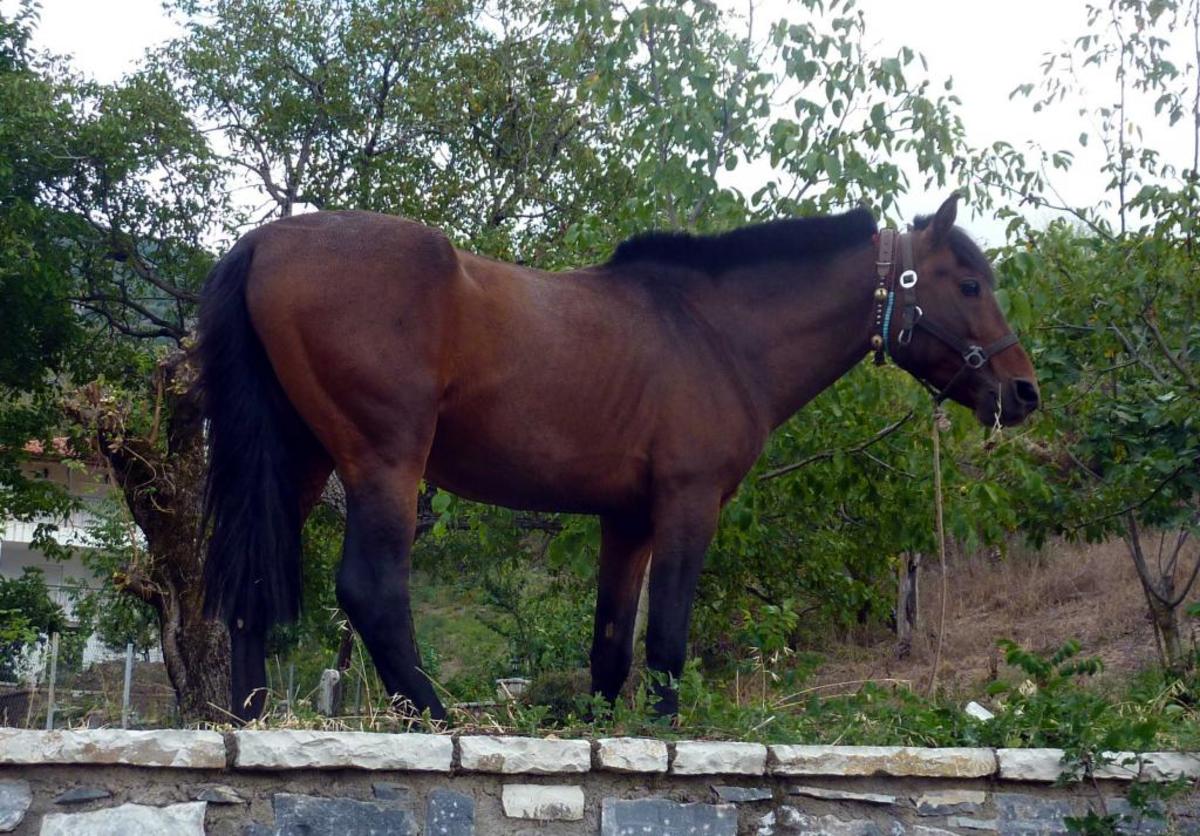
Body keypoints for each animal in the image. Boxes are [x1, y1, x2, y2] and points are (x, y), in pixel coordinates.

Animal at [199, 194, 1041, 719]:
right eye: (969, 283)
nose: (1023, 391)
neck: (712, 329)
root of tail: (263, 242)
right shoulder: (687, 505)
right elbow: (665, 640)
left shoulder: (626, 522)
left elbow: (610, 648)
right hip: (385, 462)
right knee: (372, 593)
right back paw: (438, 720)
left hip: (297, 464)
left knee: (249, 589)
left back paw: (248, 720)